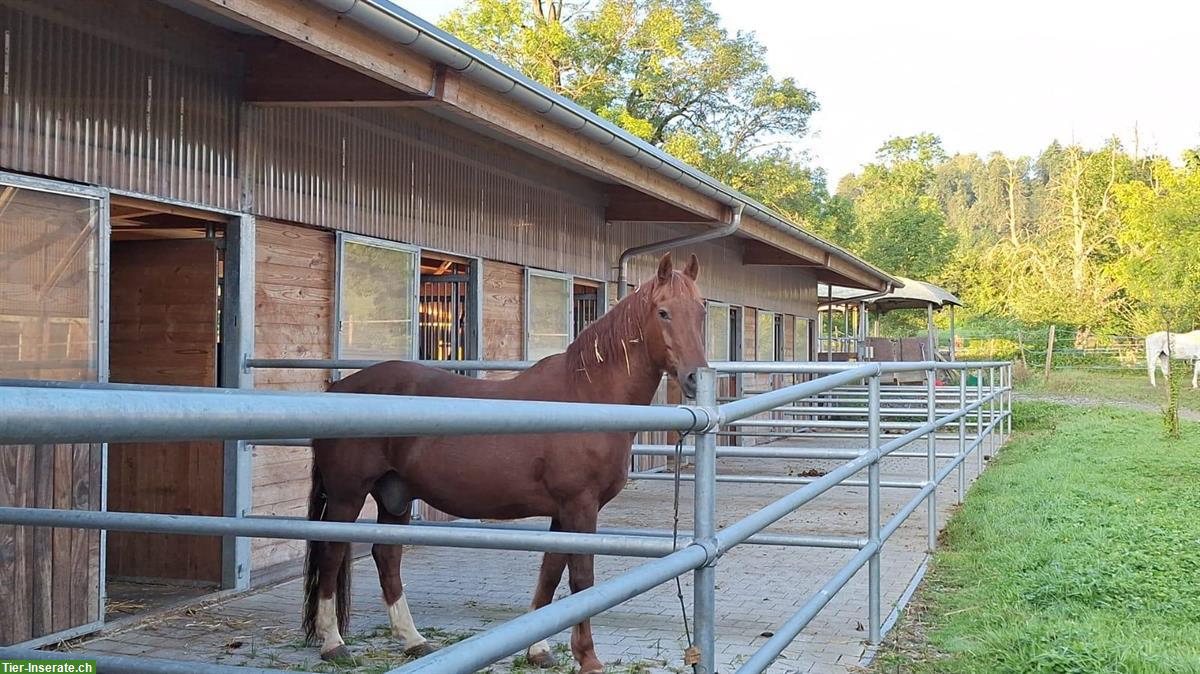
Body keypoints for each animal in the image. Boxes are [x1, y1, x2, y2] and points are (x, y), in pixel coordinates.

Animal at [304, 253, 705, 671]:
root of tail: (338, 389)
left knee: (387, 556)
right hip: (348, 496)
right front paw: (588, 658)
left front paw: (538, 649)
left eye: (701, 311)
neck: (587, 395)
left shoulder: (563, 511)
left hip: (395, 496)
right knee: (331, 554)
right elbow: (581, 579)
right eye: (663, 312)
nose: (696, 377)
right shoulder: (580, 506)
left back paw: (413, 640)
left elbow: (550, 572)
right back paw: (333, 643)